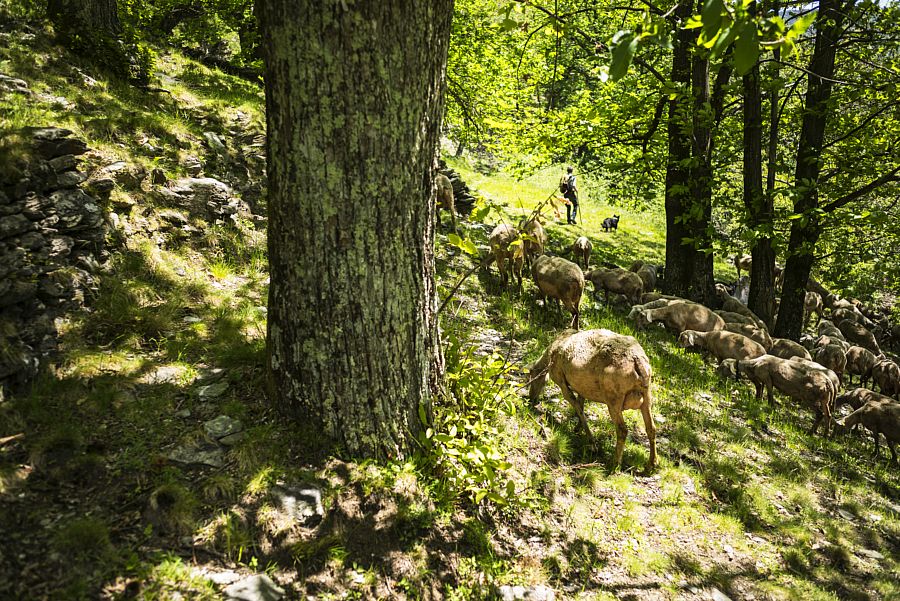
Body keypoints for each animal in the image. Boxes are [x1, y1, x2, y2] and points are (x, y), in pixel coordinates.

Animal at [532, 328, 656, 468]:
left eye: (532, 375)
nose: (531, 400)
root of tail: (637, 363)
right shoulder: (581, 387)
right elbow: (581, 404)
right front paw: (578, 428)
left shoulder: (561, 382)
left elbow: (577, 405)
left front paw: (591, 441)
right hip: (647, 395)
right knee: (651, 428)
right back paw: (652, 463)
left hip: (614, 398)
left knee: (622, 430)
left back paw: (615, 464)